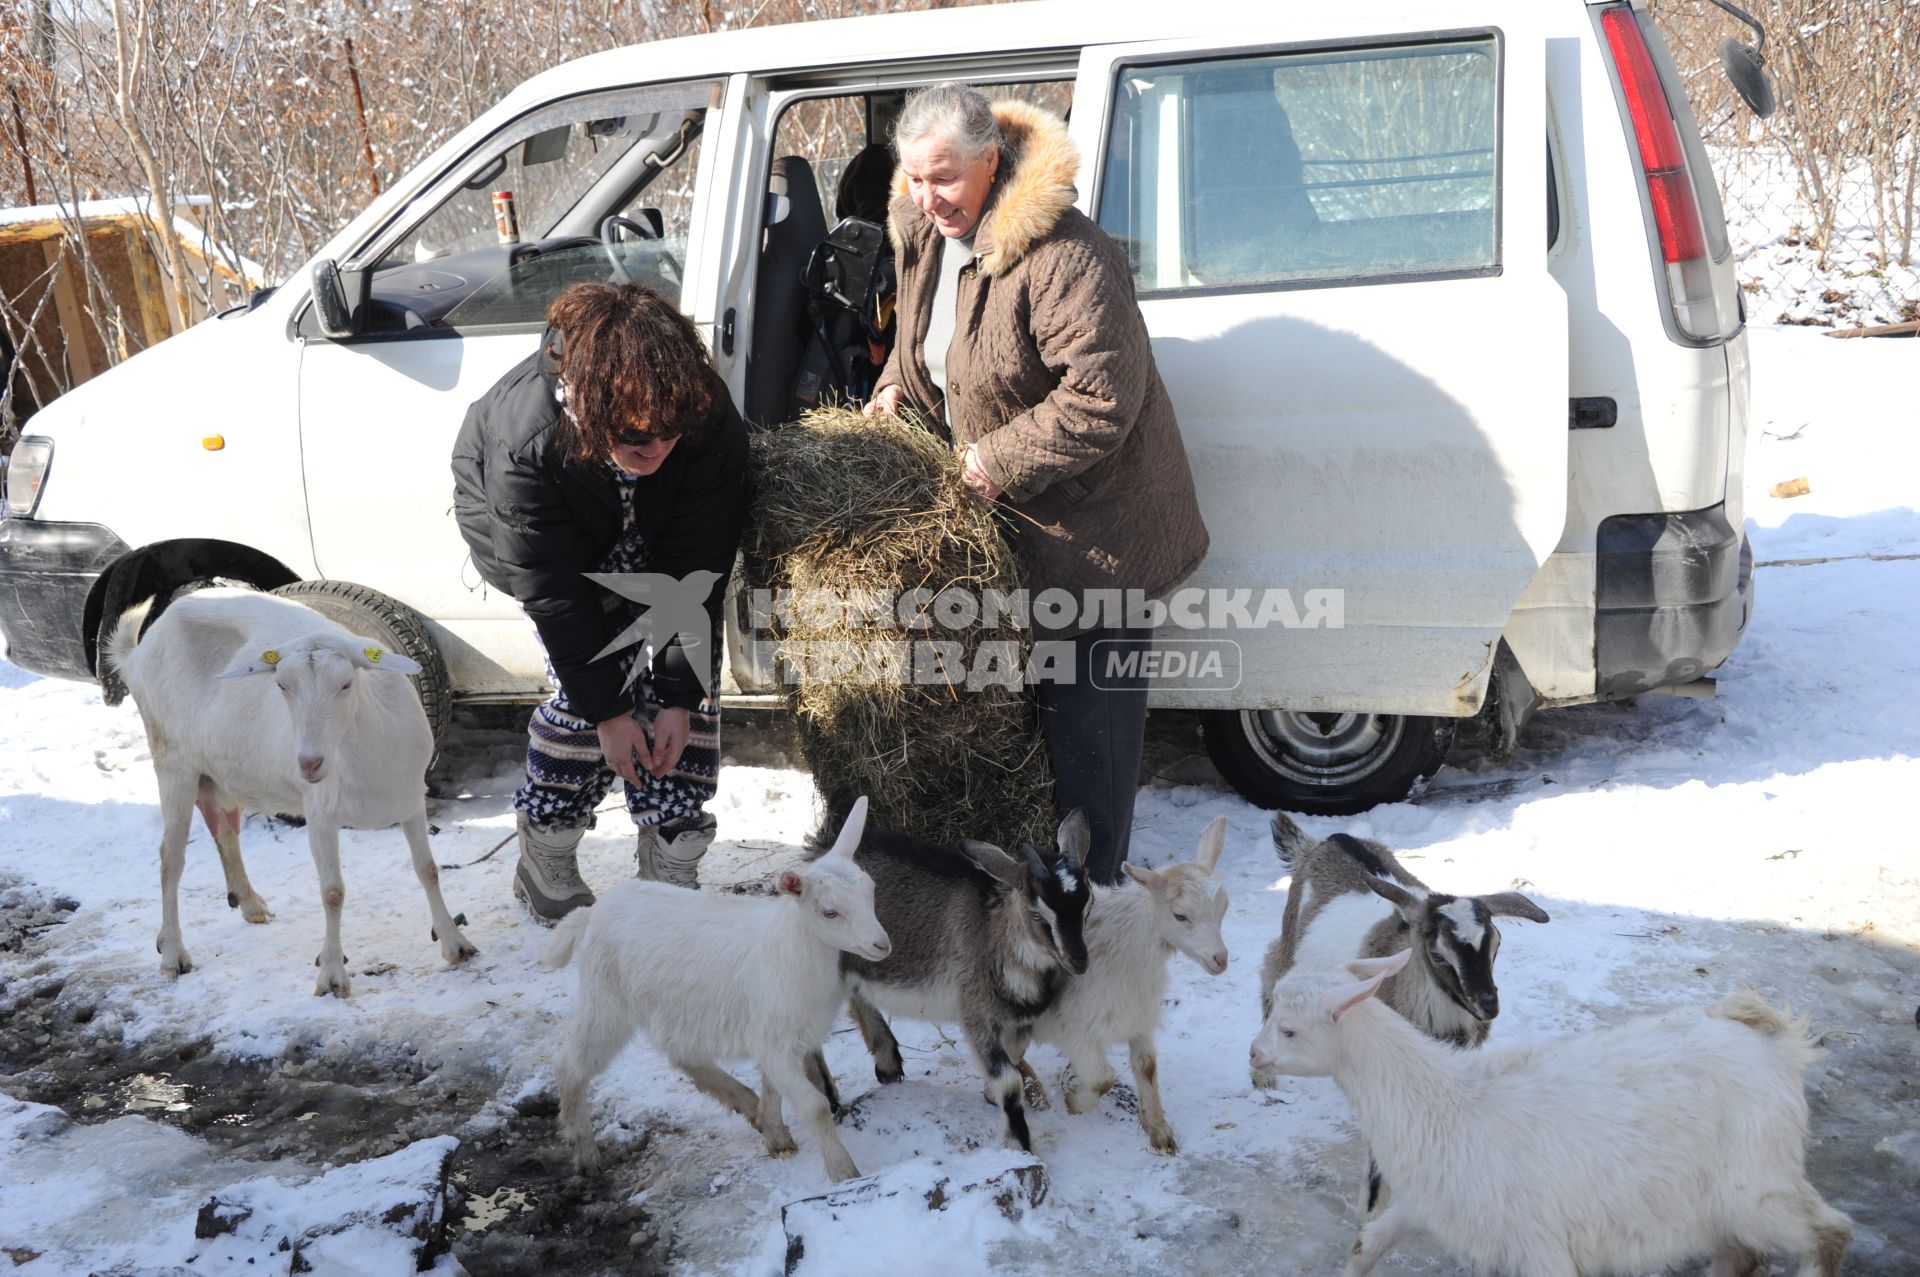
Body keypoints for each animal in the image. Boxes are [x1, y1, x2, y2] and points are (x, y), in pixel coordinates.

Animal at [108, 587, 476, 998]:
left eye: (346, 683)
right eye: (282, 685)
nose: (309, 763)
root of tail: (141, 648)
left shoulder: (411, 798)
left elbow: (428, 870)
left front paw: (455, 943)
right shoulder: (320, 812)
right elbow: (332, 892)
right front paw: (332, 974)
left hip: (221, 769)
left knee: (224, 826)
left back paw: (249, 902)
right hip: (173, 760)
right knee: (170, 858)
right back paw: (173, 953)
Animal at [545, 798, 887, 1175]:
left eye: (871, 892)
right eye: (829, 912)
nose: (881, 945)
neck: (788, 951)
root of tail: (591, 914)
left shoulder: (779, 1038)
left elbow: (773, 1089)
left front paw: (777, 1135)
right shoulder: (775, 1041)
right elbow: (815, 1106)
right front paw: (844, 1172)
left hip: (672, 1009)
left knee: (682, 1054)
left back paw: (747, 1104)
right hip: (605, 1001)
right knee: (570, 1065)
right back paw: (585, 1154)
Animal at [1021, 818, 1228, 1152]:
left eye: (1223, 907)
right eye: (1180, 915)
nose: (1220, 959)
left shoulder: (1139, 1018)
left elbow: (1146, 1067)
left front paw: (1159, 1130)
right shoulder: (1073, 1029)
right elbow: (1103, 1077)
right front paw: (1074, 1103)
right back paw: (1034, 1090)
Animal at [1251, 944, 1850, 1275]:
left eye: (1290, 1029)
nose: (1254, 1055)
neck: (1443, 1101)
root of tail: (1777, 1044)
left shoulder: (1538, 1244)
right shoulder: (1433, 1203)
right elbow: (1366, 1243)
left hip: (1756, 1180)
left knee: (1830, 1232)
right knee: (1739, 1256)